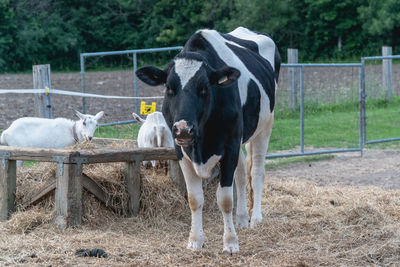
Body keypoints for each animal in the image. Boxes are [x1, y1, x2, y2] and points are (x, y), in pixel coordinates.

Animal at [136, 27, 280, 255]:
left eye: (204, 88)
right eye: (169, 88)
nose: (183, 129)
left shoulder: (229, 147)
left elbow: (225, 199)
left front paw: (230, 242)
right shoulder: (181, 151)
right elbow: (194, 199)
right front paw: (195, 240)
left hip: (264, 127)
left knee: (256, 173)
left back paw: (255, 218)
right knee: (241, 175)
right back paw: (242, 218)